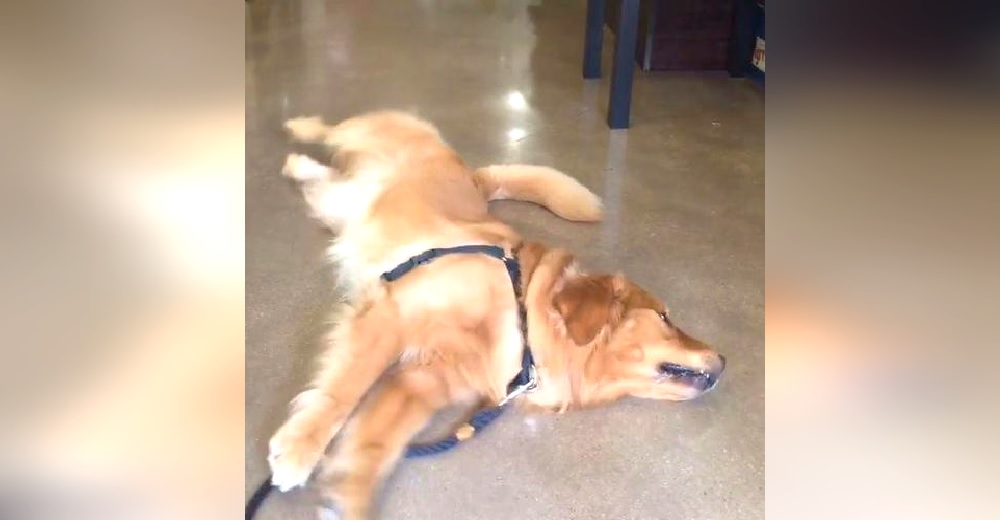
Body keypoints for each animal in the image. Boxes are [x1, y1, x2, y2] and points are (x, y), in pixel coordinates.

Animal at [266, 111, 728, 516]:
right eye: (665, 318)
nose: (725, 361)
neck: (521, 314)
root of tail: (472, 176)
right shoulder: (392, 312)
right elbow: (344, 392)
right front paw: (299, 448)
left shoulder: (422, 381)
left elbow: (377, 439)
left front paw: (349, 493)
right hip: (366, 134)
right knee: (332, 130)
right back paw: (298, 126)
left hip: (334, 203)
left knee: (323, 174)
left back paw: (296, 163)